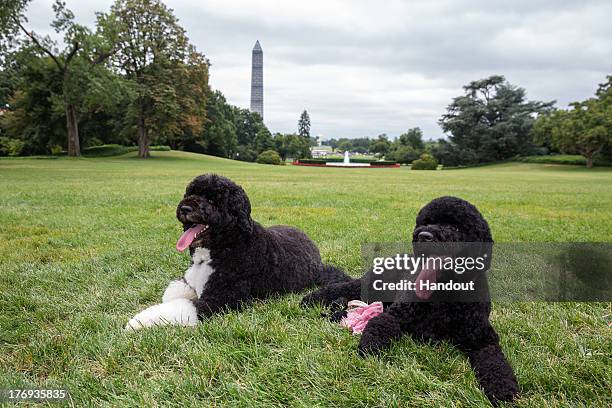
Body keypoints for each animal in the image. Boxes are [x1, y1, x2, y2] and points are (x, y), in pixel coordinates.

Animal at [126, 174, 350, 330]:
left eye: (213, 201)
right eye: (190, 193)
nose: (185, 208)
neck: (224, 246)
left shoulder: (222, 298)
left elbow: (182, 306)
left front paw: (138, 321)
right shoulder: (190, 280)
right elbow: (174, 293)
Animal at [300, 196, 516, 404]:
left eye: (455, 227)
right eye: (427, 222)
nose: (424, 236)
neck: (443, 295)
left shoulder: (483, 339)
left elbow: (495, 362)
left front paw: (502, 387)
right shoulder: (396, 314)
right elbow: (380, 324)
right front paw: (369, 346)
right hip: (371, 287)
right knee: (344, 286)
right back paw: (311, 300)